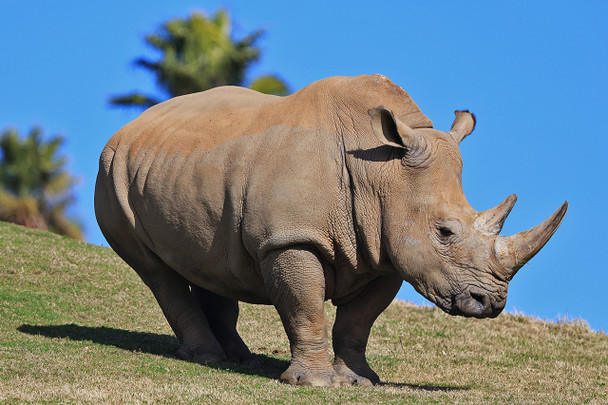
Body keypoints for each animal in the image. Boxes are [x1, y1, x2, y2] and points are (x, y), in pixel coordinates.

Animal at [94, 75, 564, 386]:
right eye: (445, 232)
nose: (491, 303)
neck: (384, 174)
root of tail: (131, 124)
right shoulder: (290, 238)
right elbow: (305, 308)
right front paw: (313, 384)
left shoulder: (387, 248)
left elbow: (359, 321)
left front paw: (359, 381)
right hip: (112, 173)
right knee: (156, 272)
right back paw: (207, 358)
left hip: (185, 167)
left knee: (212, 260)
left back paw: (238, 360)